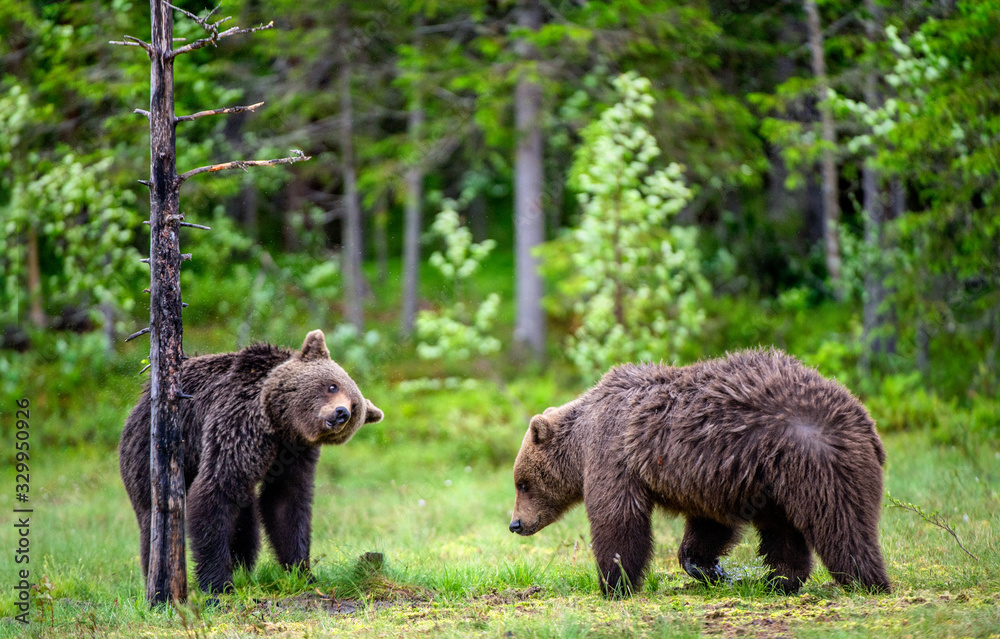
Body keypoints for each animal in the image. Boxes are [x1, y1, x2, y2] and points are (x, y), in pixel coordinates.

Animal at [119, 329, 384, 593]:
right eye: (332, 385)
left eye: (355, 406)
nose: (341, 413)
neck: (278, 422)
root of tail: (141, 401)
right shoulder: (239, 424)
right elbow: (216, 491)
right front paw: (217, 583)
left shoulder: (296, 453)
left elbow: (286, 502)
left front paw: (302, 572)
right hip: (149, 451)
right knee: (151, 515)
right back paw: (157, 578)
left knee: (244, 519)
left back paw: (241, 566)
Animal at [509, 348, 890, 597]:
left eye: (522, 483)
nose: (515, 524)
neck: (583, 439)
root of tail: (861, 415)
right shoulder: (714, 478)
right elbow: (710, 525)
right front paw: (710, 569)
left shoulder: (615, 455)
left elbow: (618, 519)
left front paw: (615, 583)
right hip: (777, 477)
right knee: (784, 529)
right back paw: (779, 581)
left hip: (815, 460)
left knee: (843, 523)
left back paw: (867, 581)